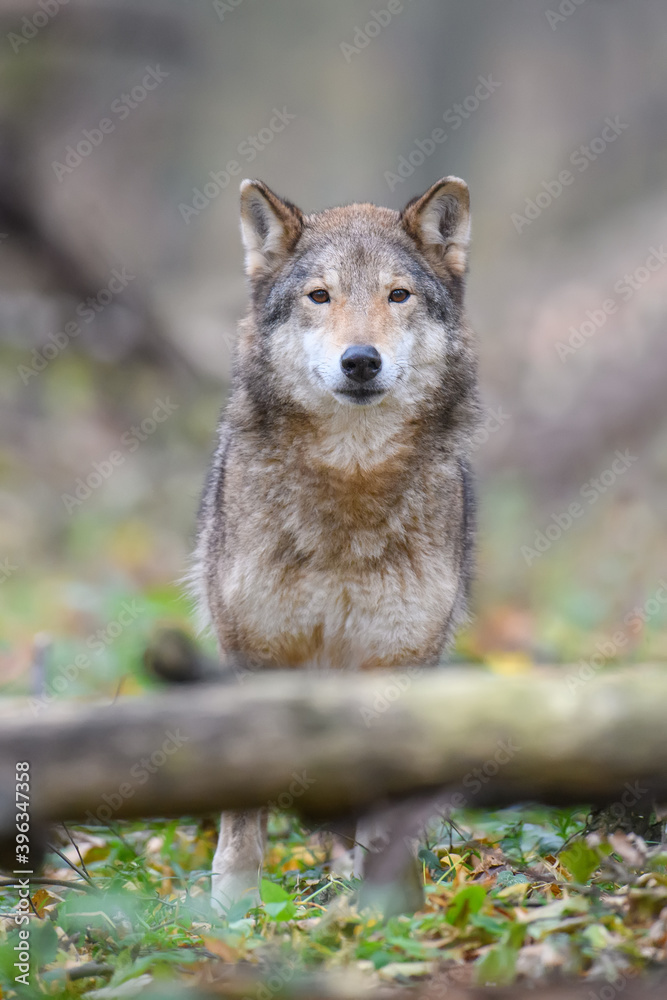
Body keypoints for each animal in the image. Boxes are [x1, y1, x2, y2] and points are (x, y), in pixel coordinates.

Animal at [192, 176, 479, 909]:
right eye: (320, 296)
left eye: (396, 295)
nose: (360, 361)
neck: (350, 484)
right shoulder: (255, 656)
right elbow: (241, 822)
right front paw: (229, 915)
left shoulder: (396, 662)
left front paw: (389, 913)